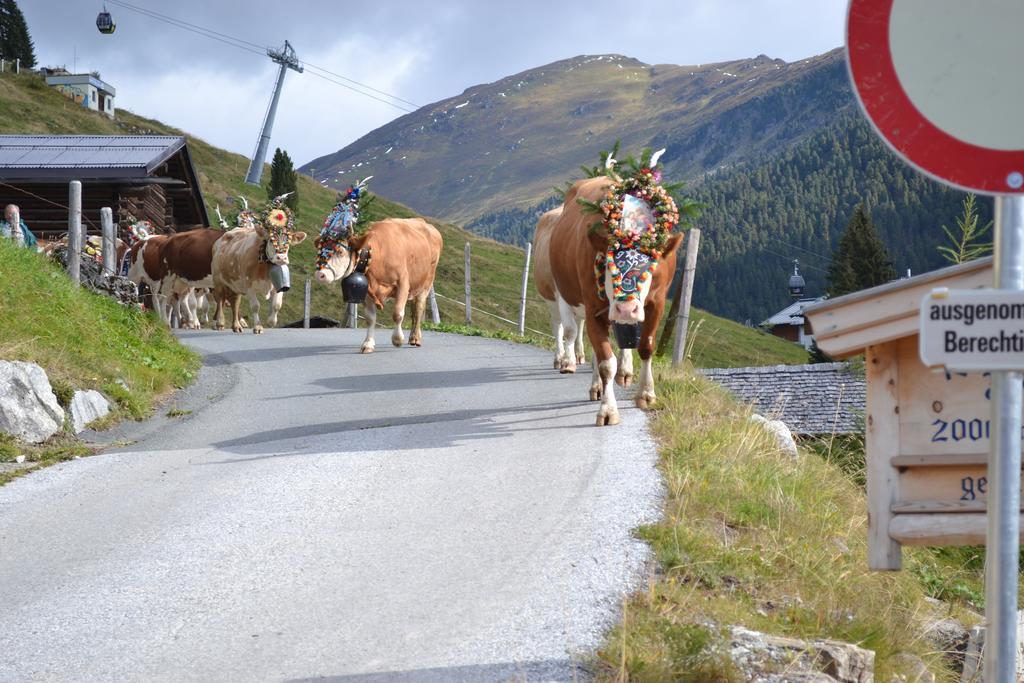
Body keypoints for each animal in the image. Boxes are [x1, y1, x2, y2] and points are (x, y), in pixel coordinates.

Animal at [548, 149, 700, 428]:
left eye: (650, 265)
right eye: (609, 266)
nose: (626, 310)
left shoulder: (656, 303)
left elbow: (646, 346)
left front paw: (646, 394)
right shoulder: (594, 307)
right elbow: (605, 362)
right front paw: (608, 410)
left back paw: (624, 373)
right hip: (570, 297)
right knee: (590, 346)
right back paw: (596, 385)